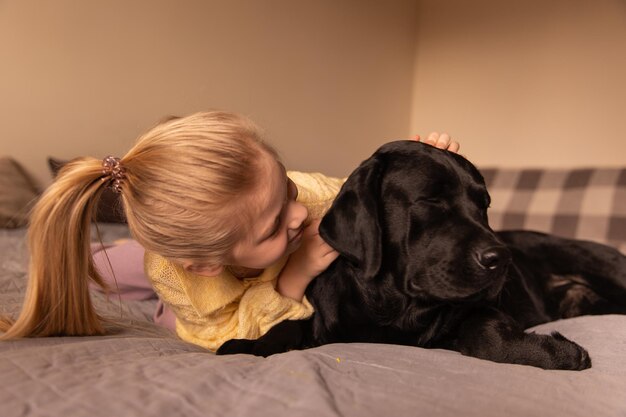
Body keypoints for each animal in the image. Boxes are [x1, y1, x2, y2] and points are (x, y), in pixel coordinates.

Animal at [216, 141, 624, 370]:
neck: (392, 310)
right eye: (431, 201)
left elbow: (484, 334)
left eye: (484, 205)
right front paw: (249, 346)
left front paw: (561, 353)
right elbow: (290, 324)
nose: (502, 259)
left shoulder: (479, 309)